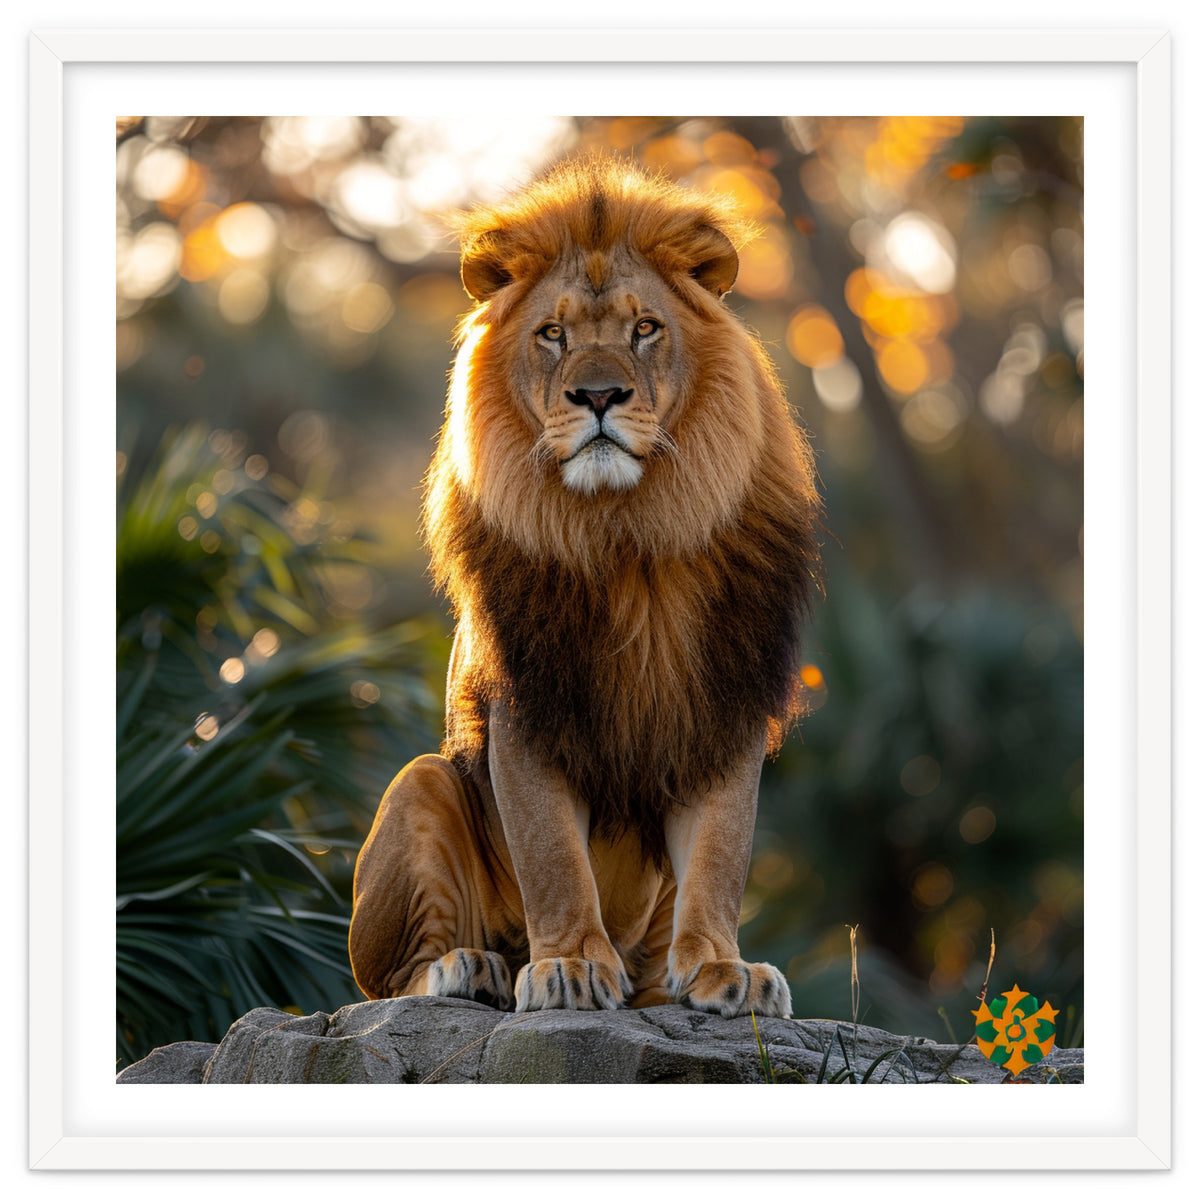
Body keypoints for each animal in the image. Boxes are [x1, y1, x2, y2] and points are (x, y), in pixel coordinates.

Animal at [349, 158, 821, 1019]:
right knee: (388, 981)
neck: (628, 535)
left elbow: (720, 854)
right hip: (421, 783)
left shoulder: (724, 705)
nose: (598, 397)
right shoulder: (526, 706)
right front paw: (567, 964)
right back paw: (473, 968)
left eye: (645, 329)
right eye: (553, 334)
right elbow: (553, 858)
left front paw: (722, 969)